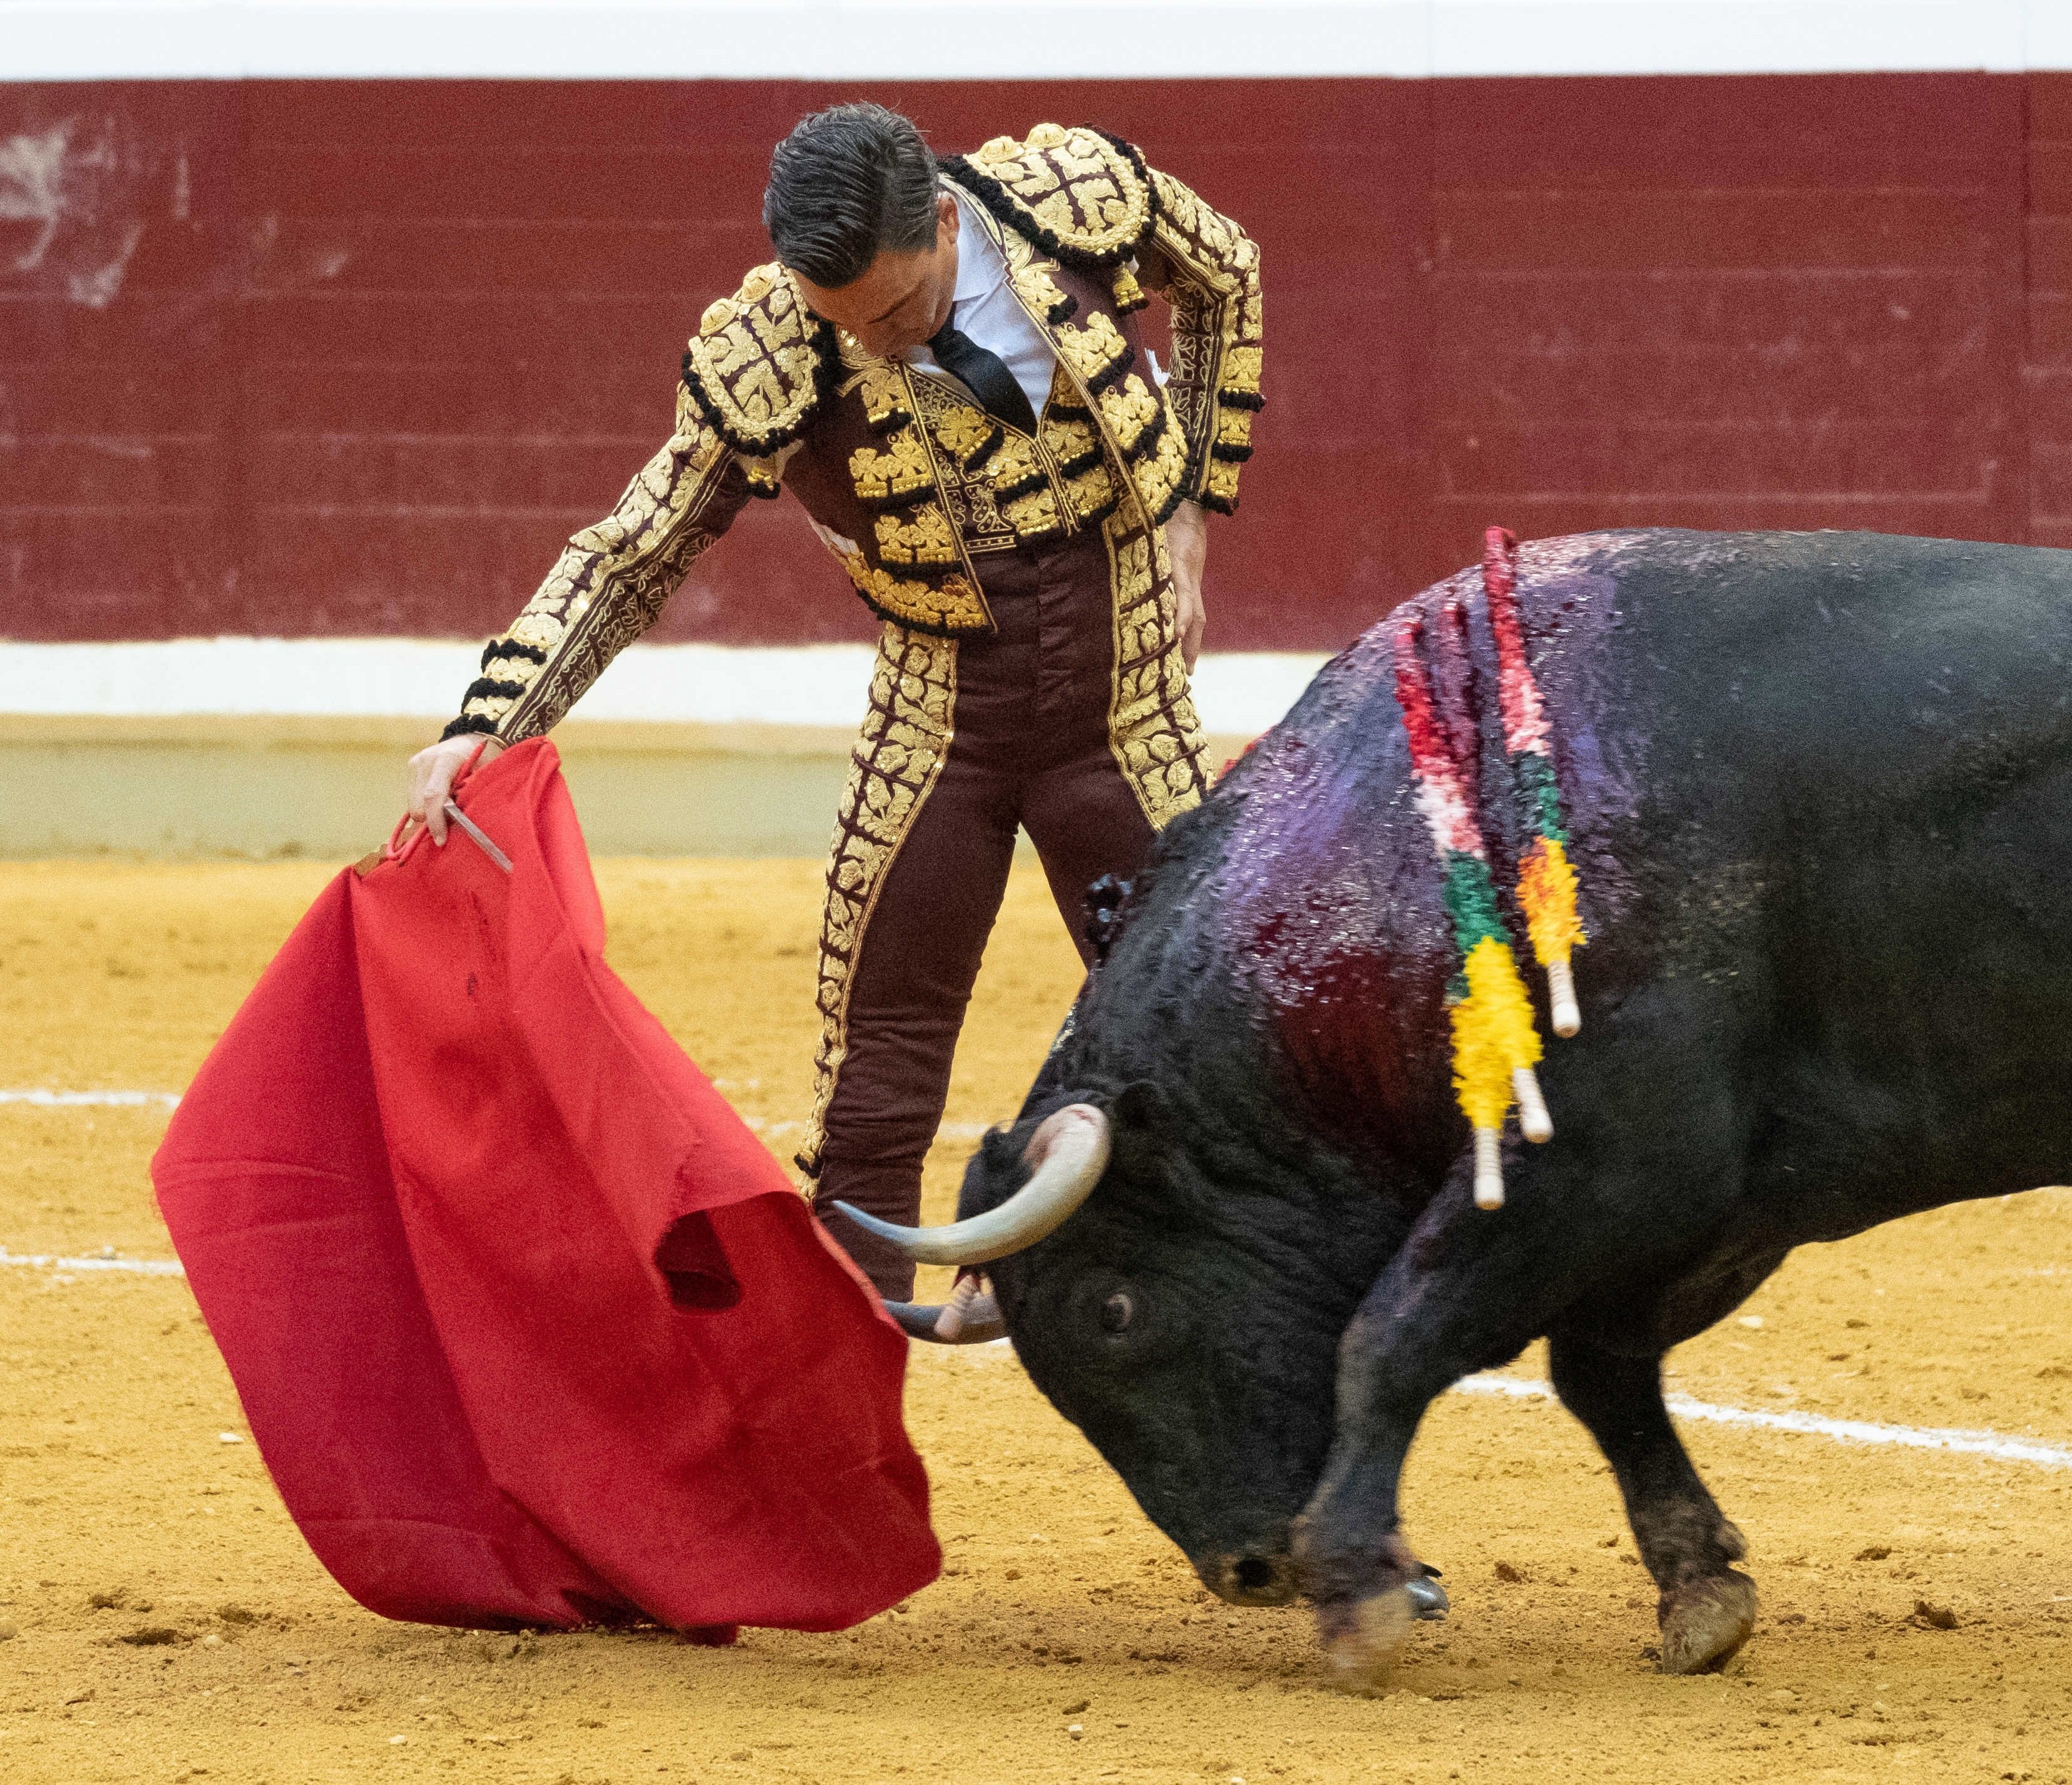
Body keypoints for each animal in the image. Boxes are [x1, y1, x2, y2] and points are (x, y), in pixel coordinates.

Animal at [833, 528, 2063, 1689]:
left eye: (1113, 1310)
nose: (1251, 1570)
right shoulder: (1702, 1205)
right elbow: (1595, 1373)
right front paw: (1700, 1592)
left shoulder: (1601, 1162)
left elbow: (1394, 1335)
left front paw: (1357, 1592)